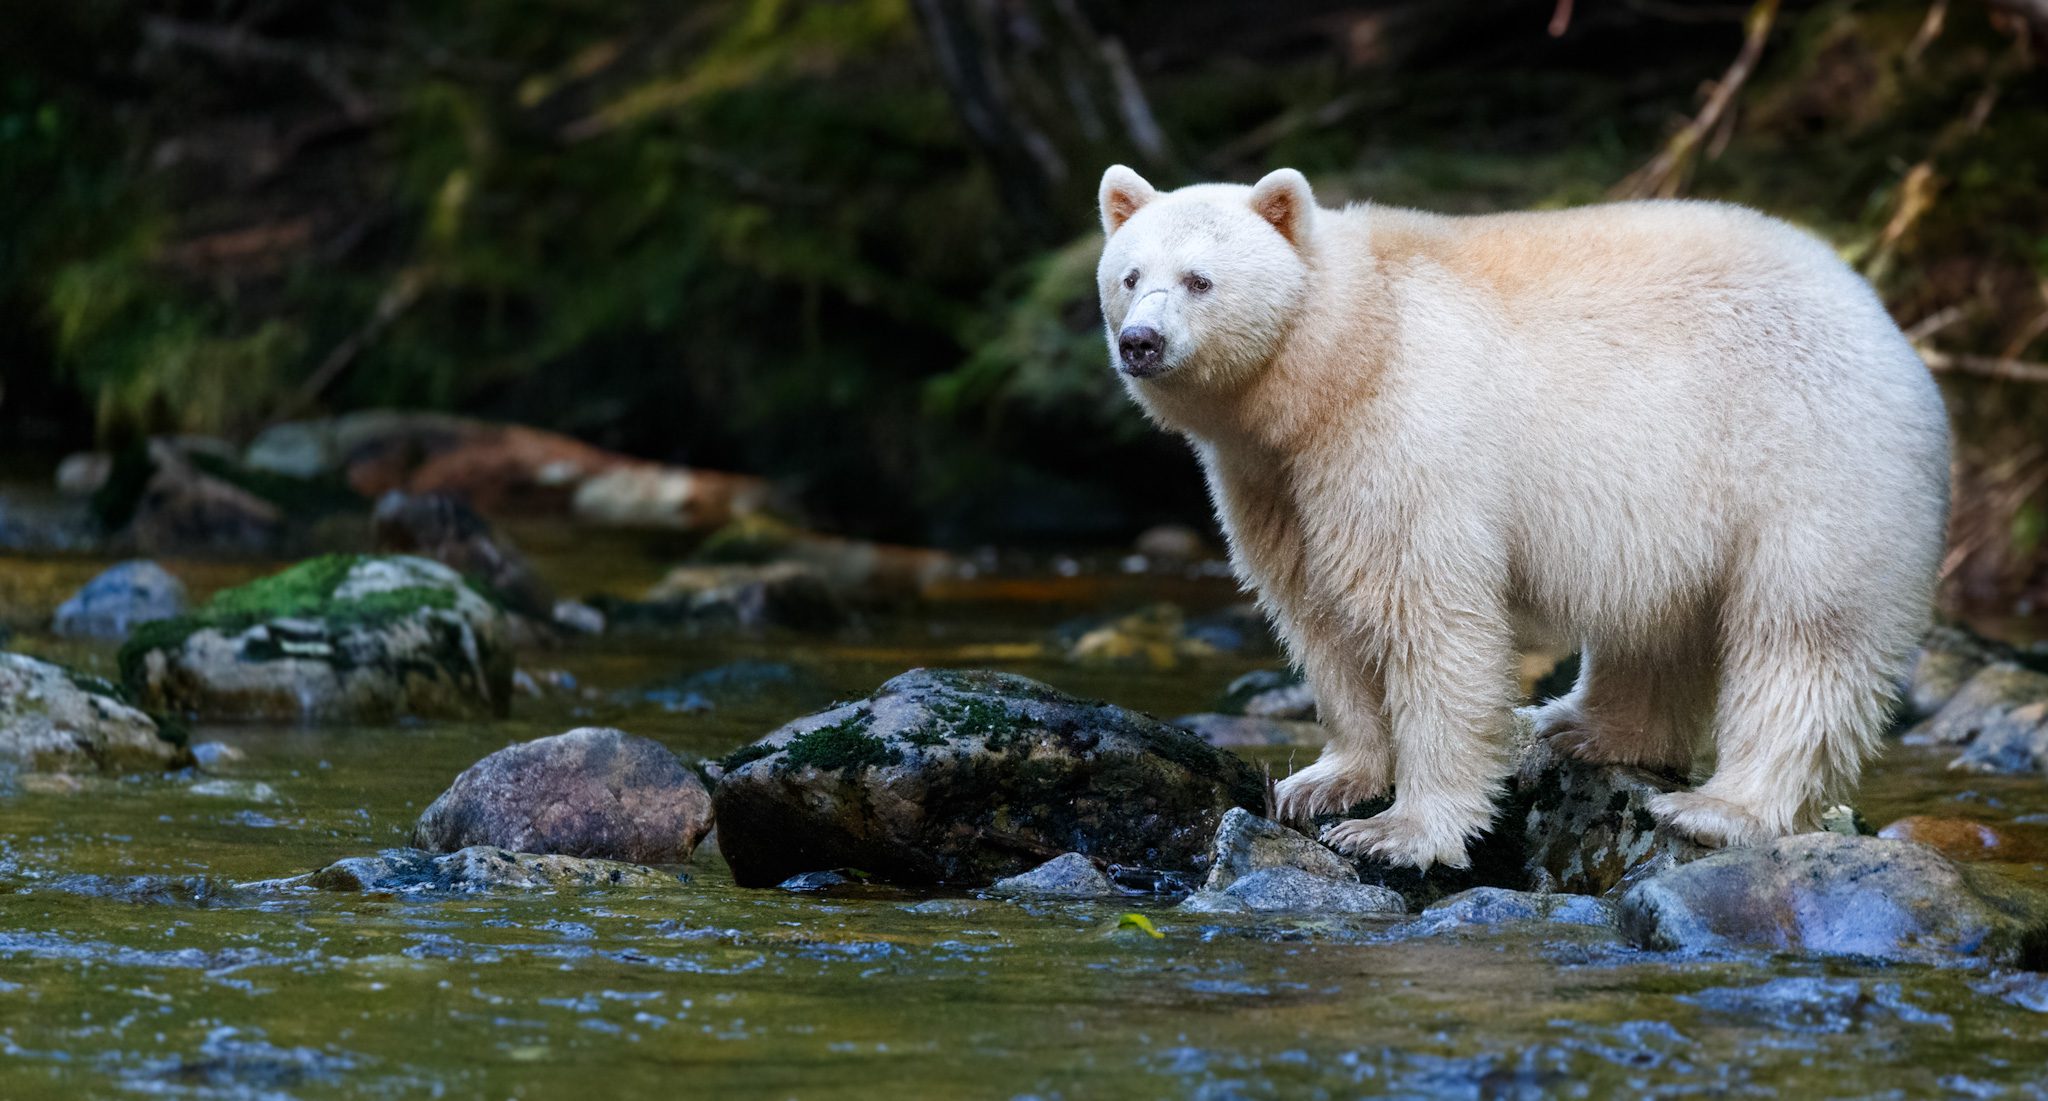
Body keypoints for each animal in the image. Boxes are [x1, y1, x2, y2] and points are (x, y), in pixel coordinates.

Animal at [1094, 164, 1950, 870]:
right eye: (1129, 276)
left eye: (1199, 279)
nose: (1141, 341)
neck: (1343, 350)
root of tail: (1882, 318)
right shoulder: (1274, 481)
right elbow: (1320, 614)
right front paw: (1323, 781)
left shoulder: (1400, 435)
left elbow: (1427, 615)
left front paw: (1401, 830)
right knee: (1659, 625)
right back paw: (1580, 726)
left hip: (1807, 458)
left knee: (1804, 632)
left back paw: (1719, 806)